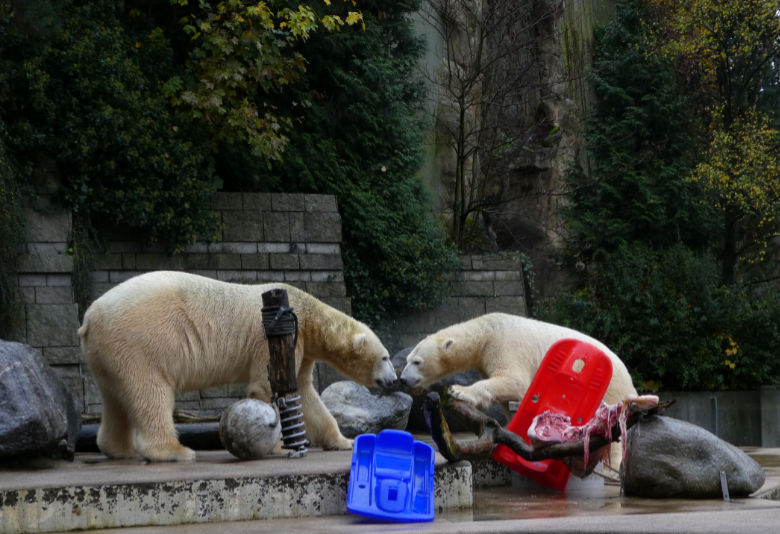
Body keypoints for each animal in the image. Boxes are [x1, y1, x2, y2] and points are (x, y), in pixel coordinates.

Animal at [80, 272, 400, 464]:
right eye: (385, 358)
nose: (394, 380)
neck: (306, 313)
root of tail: (90, 316)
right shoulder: (272, 341)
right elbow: (266, 386)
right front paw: (277, 445)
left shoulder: (301, 348)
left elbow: (307, 396)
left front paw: (344, 441)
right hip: (141, 343)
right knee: (151, 394)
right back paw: (176, 451)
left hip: (106, 354)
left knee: (115, 397)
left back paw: (119, 449)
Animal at [400, 314, 636, 468]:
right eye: (408, 359)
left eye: (417, 361)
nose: (402, 378)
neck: (488, 331)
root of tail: (630, 380)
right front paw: (510, 425)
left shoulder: (504, 346)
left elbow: (514, 380)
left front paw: (458, 391)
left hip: (611, 390)